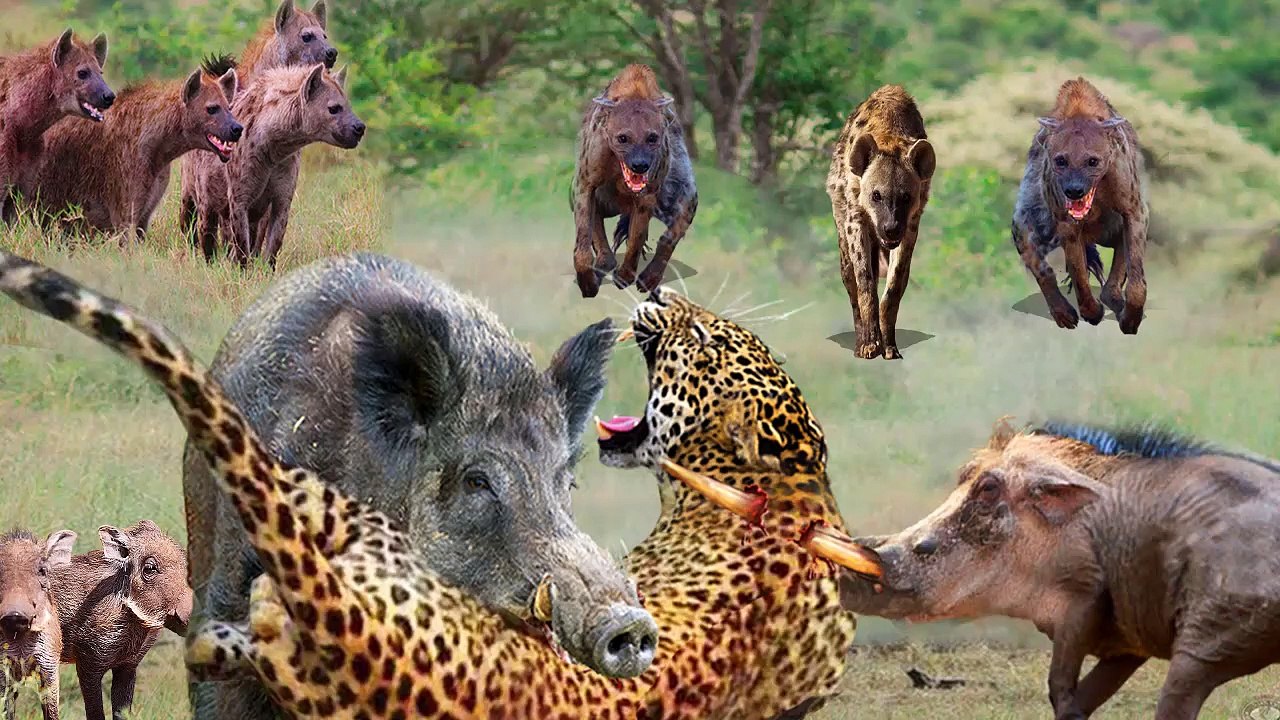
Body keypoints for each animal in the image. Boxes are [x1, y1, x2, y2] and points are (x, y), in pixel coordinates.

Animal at [0, 529, 77, 720]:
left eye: (42, 570)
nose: (14, 614)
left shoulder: (49, 665)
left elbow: (52, 711)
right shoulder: (3, 668)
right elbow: (6, 710)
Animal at [51, 521, 193, 720]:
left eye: (185, 562)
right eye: (150, 568)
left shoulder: (128, 666)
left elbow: (122, 712)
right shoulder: (88, 666)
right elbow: (95, 713)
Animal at [839, 419, 1280, 720]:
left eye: (988, 489)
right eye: (964, 478)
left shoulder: (1081, 607)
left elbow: (1061, 693)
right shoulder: (1125, 645)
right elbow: (1079, 701)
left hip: (1195, 658)